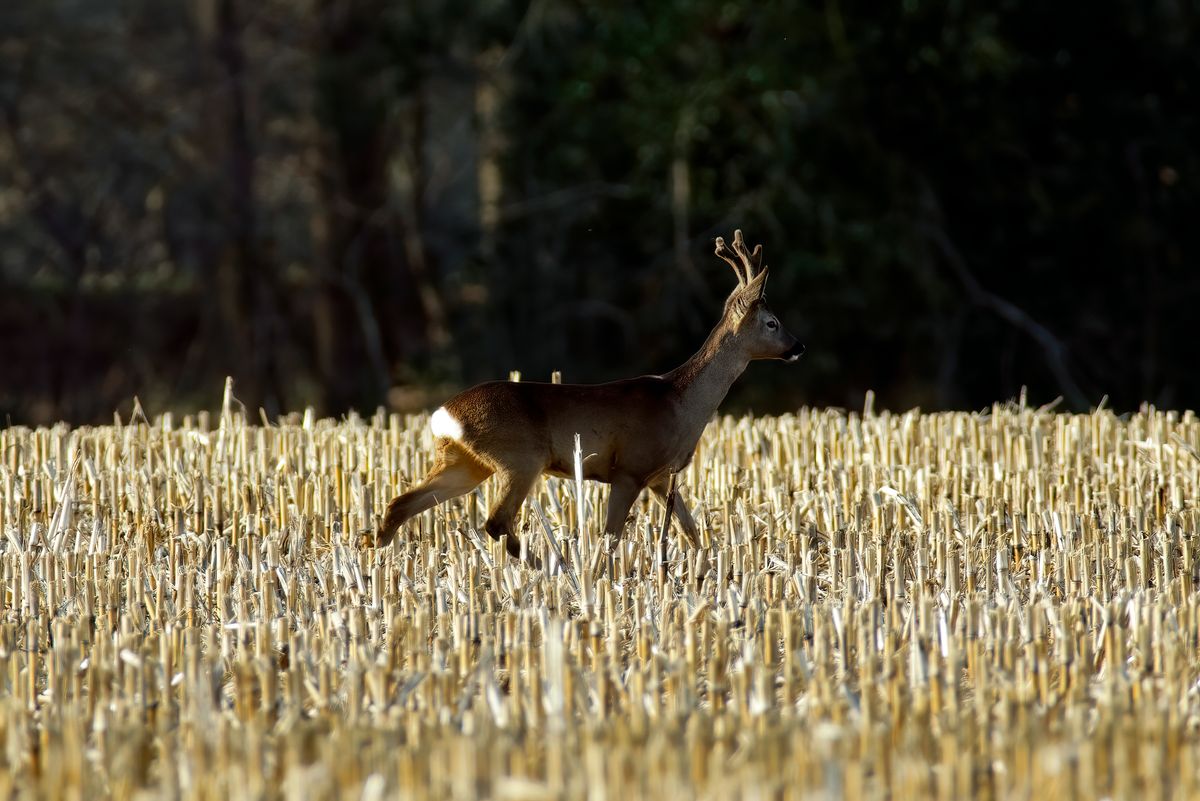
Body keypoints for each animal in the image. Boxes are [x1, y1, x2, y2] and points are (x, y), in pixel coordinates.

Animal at [372, 230, 806, 556]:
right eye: (772, 322)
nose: (798, 346)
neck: (681, 403)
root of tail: (443, 416)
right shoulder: (630, 468)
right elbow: (610, 537)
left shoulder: (660, 477)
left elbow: (691, 531)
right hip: (520, 457)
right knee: (496, 522)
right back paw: (550, 566)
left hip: (466, 463)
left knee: (401, 504)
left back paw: (373, 551)